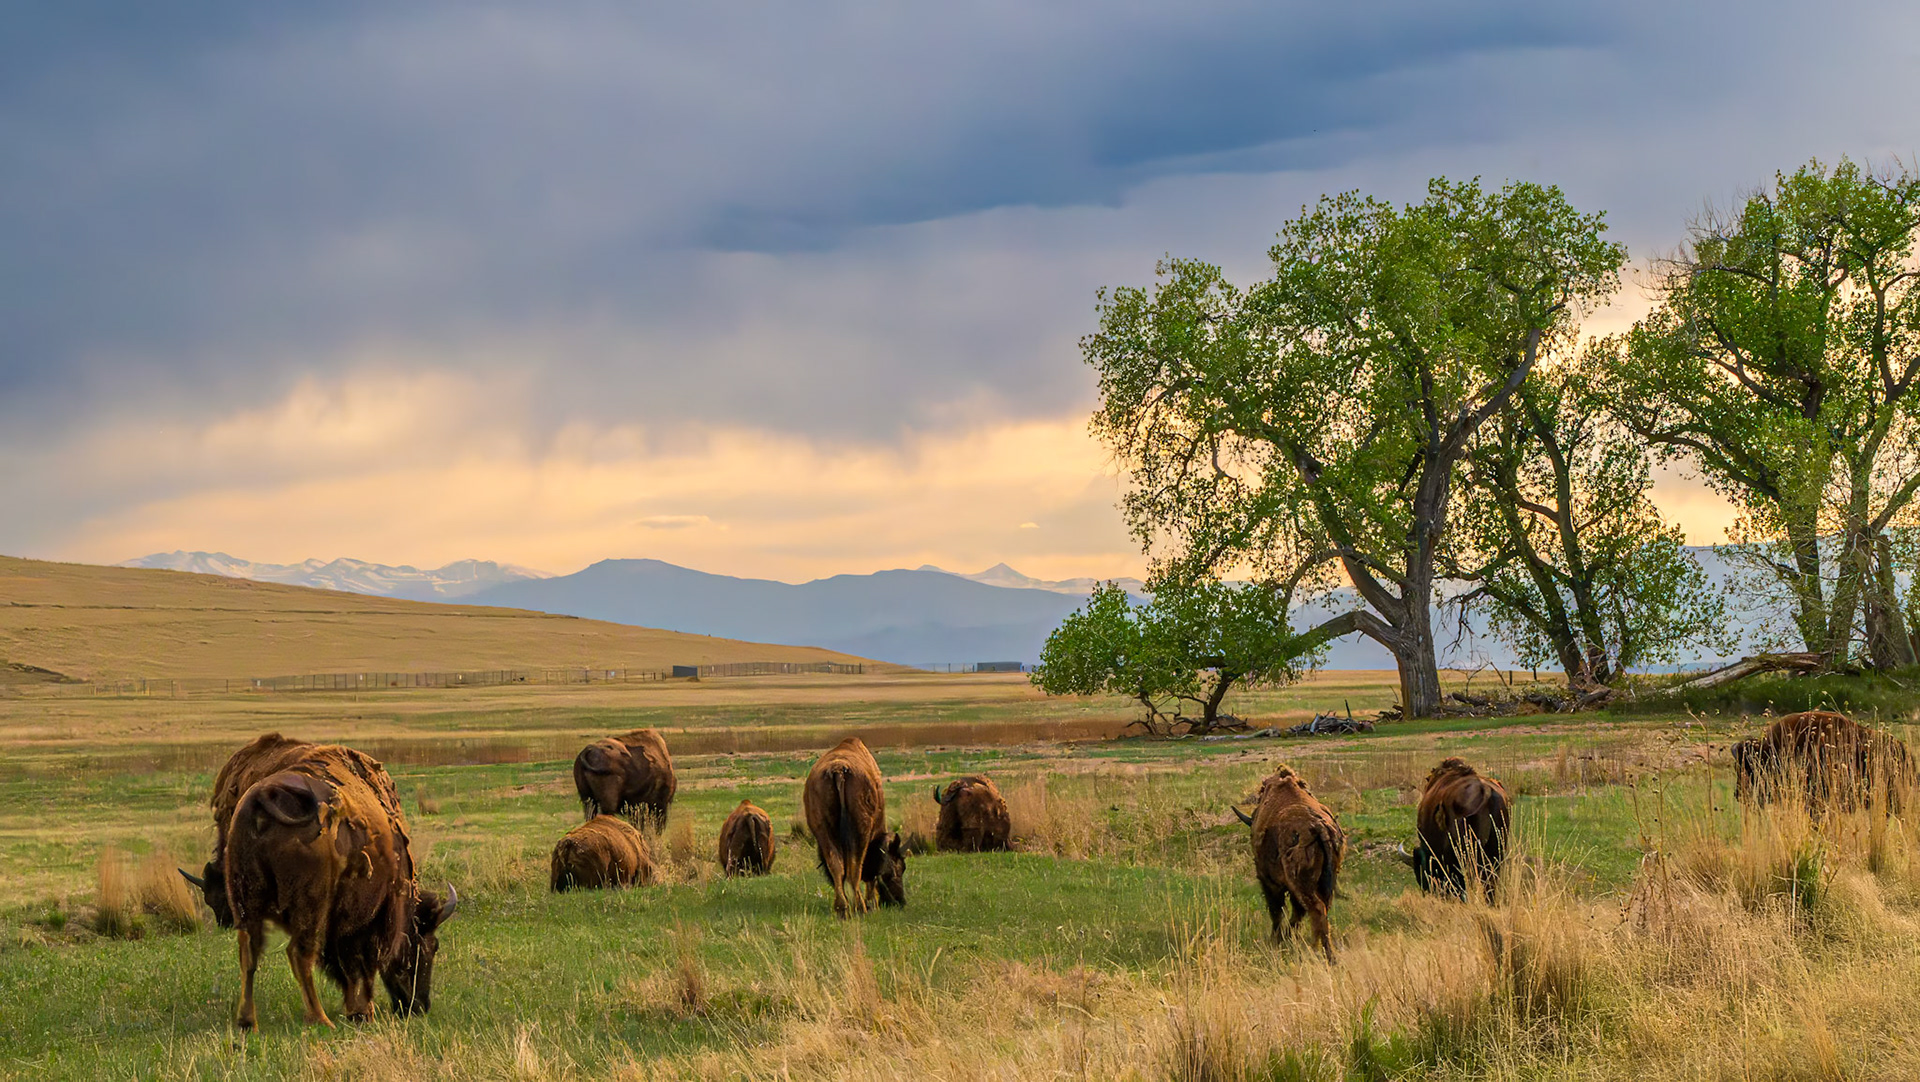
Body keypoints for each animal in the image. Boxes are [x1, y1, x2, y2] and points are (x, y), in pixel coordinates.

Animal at [221, 744, 456, 1029]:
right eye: (431, 945)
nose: (420, 1005)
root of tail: (264, 797)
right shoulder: (370, 921)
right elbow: (361, 966)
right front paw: (364, 1012)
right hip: (310, 908)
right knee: (299, 954)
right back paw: (320, 1019)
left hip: (245, 899)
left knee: (249, 954)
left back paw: (247, 1021)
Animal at [803, 737, 905, 916]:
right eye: (898, 868)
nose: (901, 901)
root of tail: (838, 770)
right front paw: (872, 903)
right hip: (860, 831)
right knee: (855, 868)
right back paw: (861, 907)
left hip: (823, 829)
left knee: (837, 865)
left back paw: (842, 909)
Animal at [1232, 766, 1343, 962]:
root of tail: (1319, 827)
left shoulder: (1269, 882)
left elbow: (1276, 911)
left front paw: (1276, 940)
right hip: (1326, 882)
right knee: (1321, 910)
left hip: (1301, 884)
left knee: (1316, 909)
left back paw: (1321, 953)